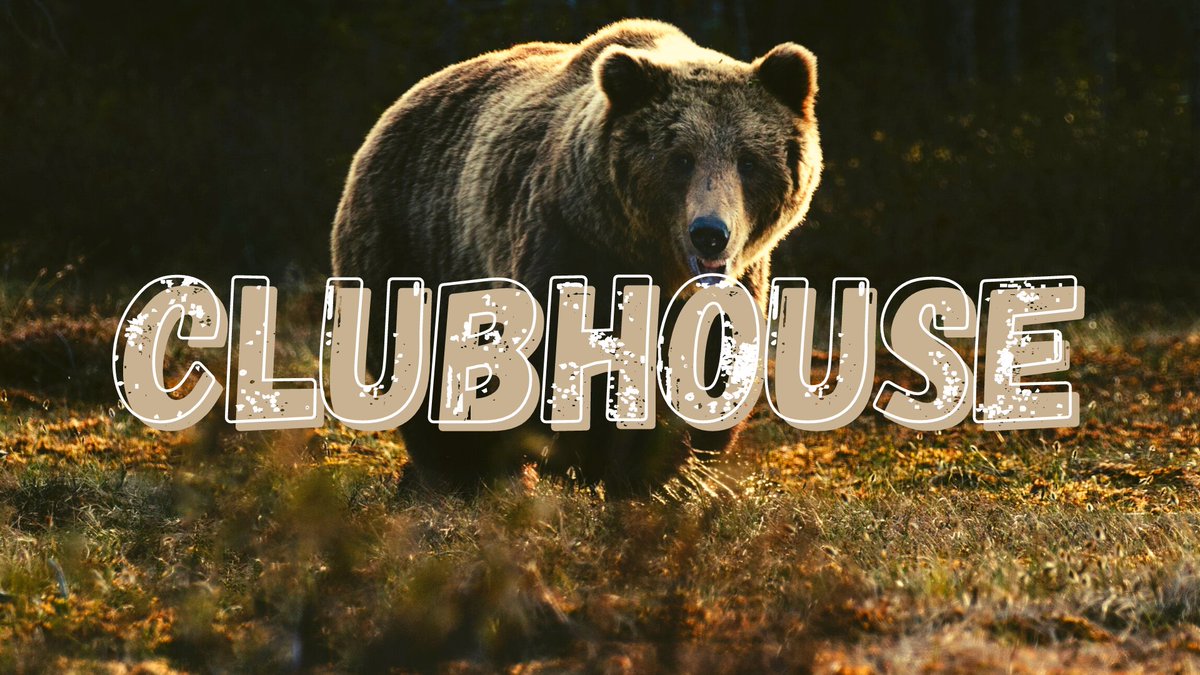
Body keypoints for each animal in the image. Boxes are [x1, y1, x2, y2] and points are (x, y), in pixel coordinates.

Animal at [331, 19, 822, 492]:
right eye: (680, 158)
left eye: (748, 160)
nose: (710, 234)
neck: (650, 260)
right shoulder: (569, 247)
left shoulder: (731, 288)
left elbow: (712, 370)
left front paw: (665, 471)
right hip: (413, 245)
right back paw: (458, 476)